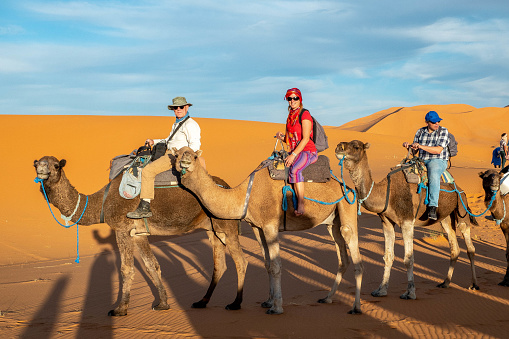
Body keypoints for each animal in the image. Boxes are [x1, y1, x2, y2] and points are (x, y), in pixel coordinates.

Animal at [32, 156, 247, 316]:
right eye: (36, 164)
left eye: (56, 165)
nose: (41, 170)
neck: (101, 203)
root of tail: (230, 187)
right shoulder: (139, 233)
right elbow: (152, 266)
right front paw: (163, 303)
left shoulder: (122, 228)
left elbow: (126, 269)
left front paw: (119, 309)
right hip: (213, 229)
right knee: (220, 264)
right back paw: (201, 302)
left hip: (227, 224)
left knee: (240, 261)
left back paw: (235, 303)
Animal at [173, 146, 364, 316]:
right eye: (177, 154)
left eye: (194, 156)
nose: (185, 160)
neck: (244, 195)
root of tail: (349, 187)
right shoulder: (258, 227)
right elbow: (267, 263)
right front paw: (268, 301)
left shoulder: (270, 225)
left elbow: (276, 265)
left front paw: (276, 307)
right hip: (332, 222)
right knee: (343, 258)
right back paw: (327, 298)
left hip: (347, 206)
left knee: (356, 255)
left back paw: (356, 307)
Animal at [336, 141, 478, 300]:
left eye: (356, 146)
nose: (339, 147)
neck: (386, 192)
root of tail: (459, 188)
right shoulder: (386, 222)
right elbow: (388, 256)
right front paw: (381, 290)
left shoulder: (407, 222)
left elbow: (408, 259)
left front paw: (410, 292)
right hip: (446, 218)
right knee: (454, 248)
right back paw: (445, 282)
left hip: (462, 209)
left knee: (469, 247)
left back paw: (474, 284)